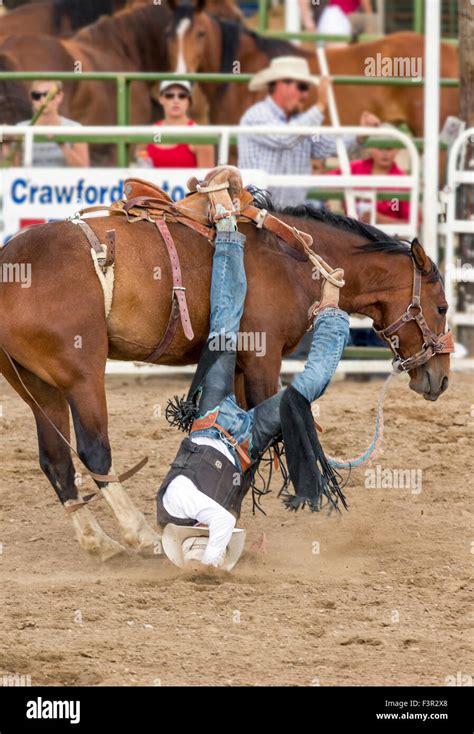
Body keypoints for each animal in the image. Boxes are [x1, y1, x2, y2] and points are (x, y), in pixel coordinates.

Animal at [0, 193, 450, 560]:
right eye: (443, 306)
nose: (441, 378)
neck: (292, 259)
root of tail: (10, 265)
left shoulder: (237, 366)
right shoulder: (264, 358)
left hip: (37, 385)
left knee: (55, 460)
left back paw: (98, 542)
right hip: (82, 375)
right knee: (94, 452)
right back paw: (139, 535)